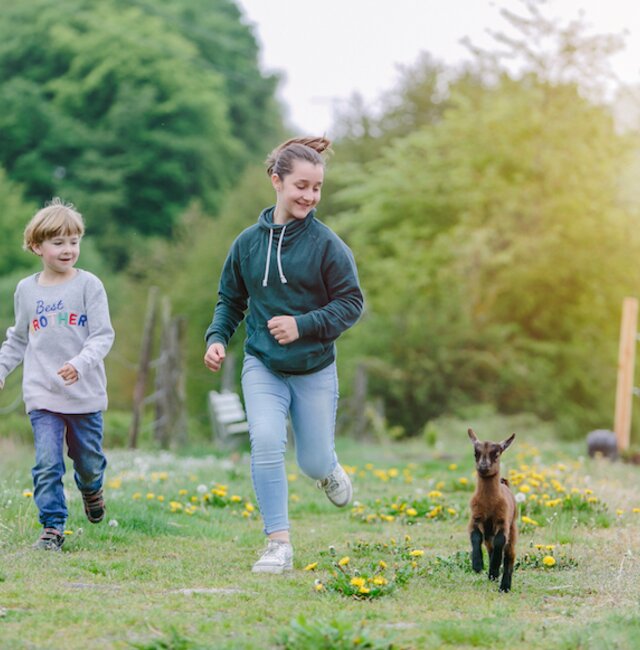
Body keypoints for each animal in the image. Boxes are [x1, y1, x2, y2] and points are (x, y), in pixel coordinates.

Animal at [468, 428, 516, 588]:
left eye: (497, 453)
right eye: (475, 453)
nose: (483, 466)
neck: (489, 506)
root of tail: (504, 484)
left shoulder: (503, 521)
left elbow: (500, 542)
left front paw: (495, 567)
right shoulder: (475, 518)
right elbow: (475, 537)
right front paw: (477, 565)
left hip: (513, 528)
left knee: (509, 555)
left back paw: (504, 586)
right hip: (489, 533)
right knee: (490, 548)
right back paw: (492, 576)